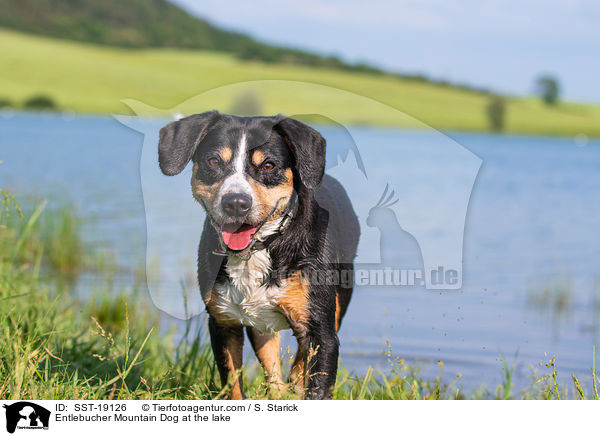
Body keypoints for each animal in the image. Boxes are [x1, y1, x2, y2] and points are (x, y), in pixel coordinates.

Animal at [157, 112, 358, 398]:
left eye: (268, 165)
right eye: (214, 161)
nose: (236, 202)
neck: (256, 252)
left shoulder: (322, 332)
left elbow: (316, 385)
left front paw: (302, 382)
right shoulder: (223, 322)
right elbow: (233, 384)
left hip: (340, 297)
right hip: (261, 327)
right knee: (273, 372)